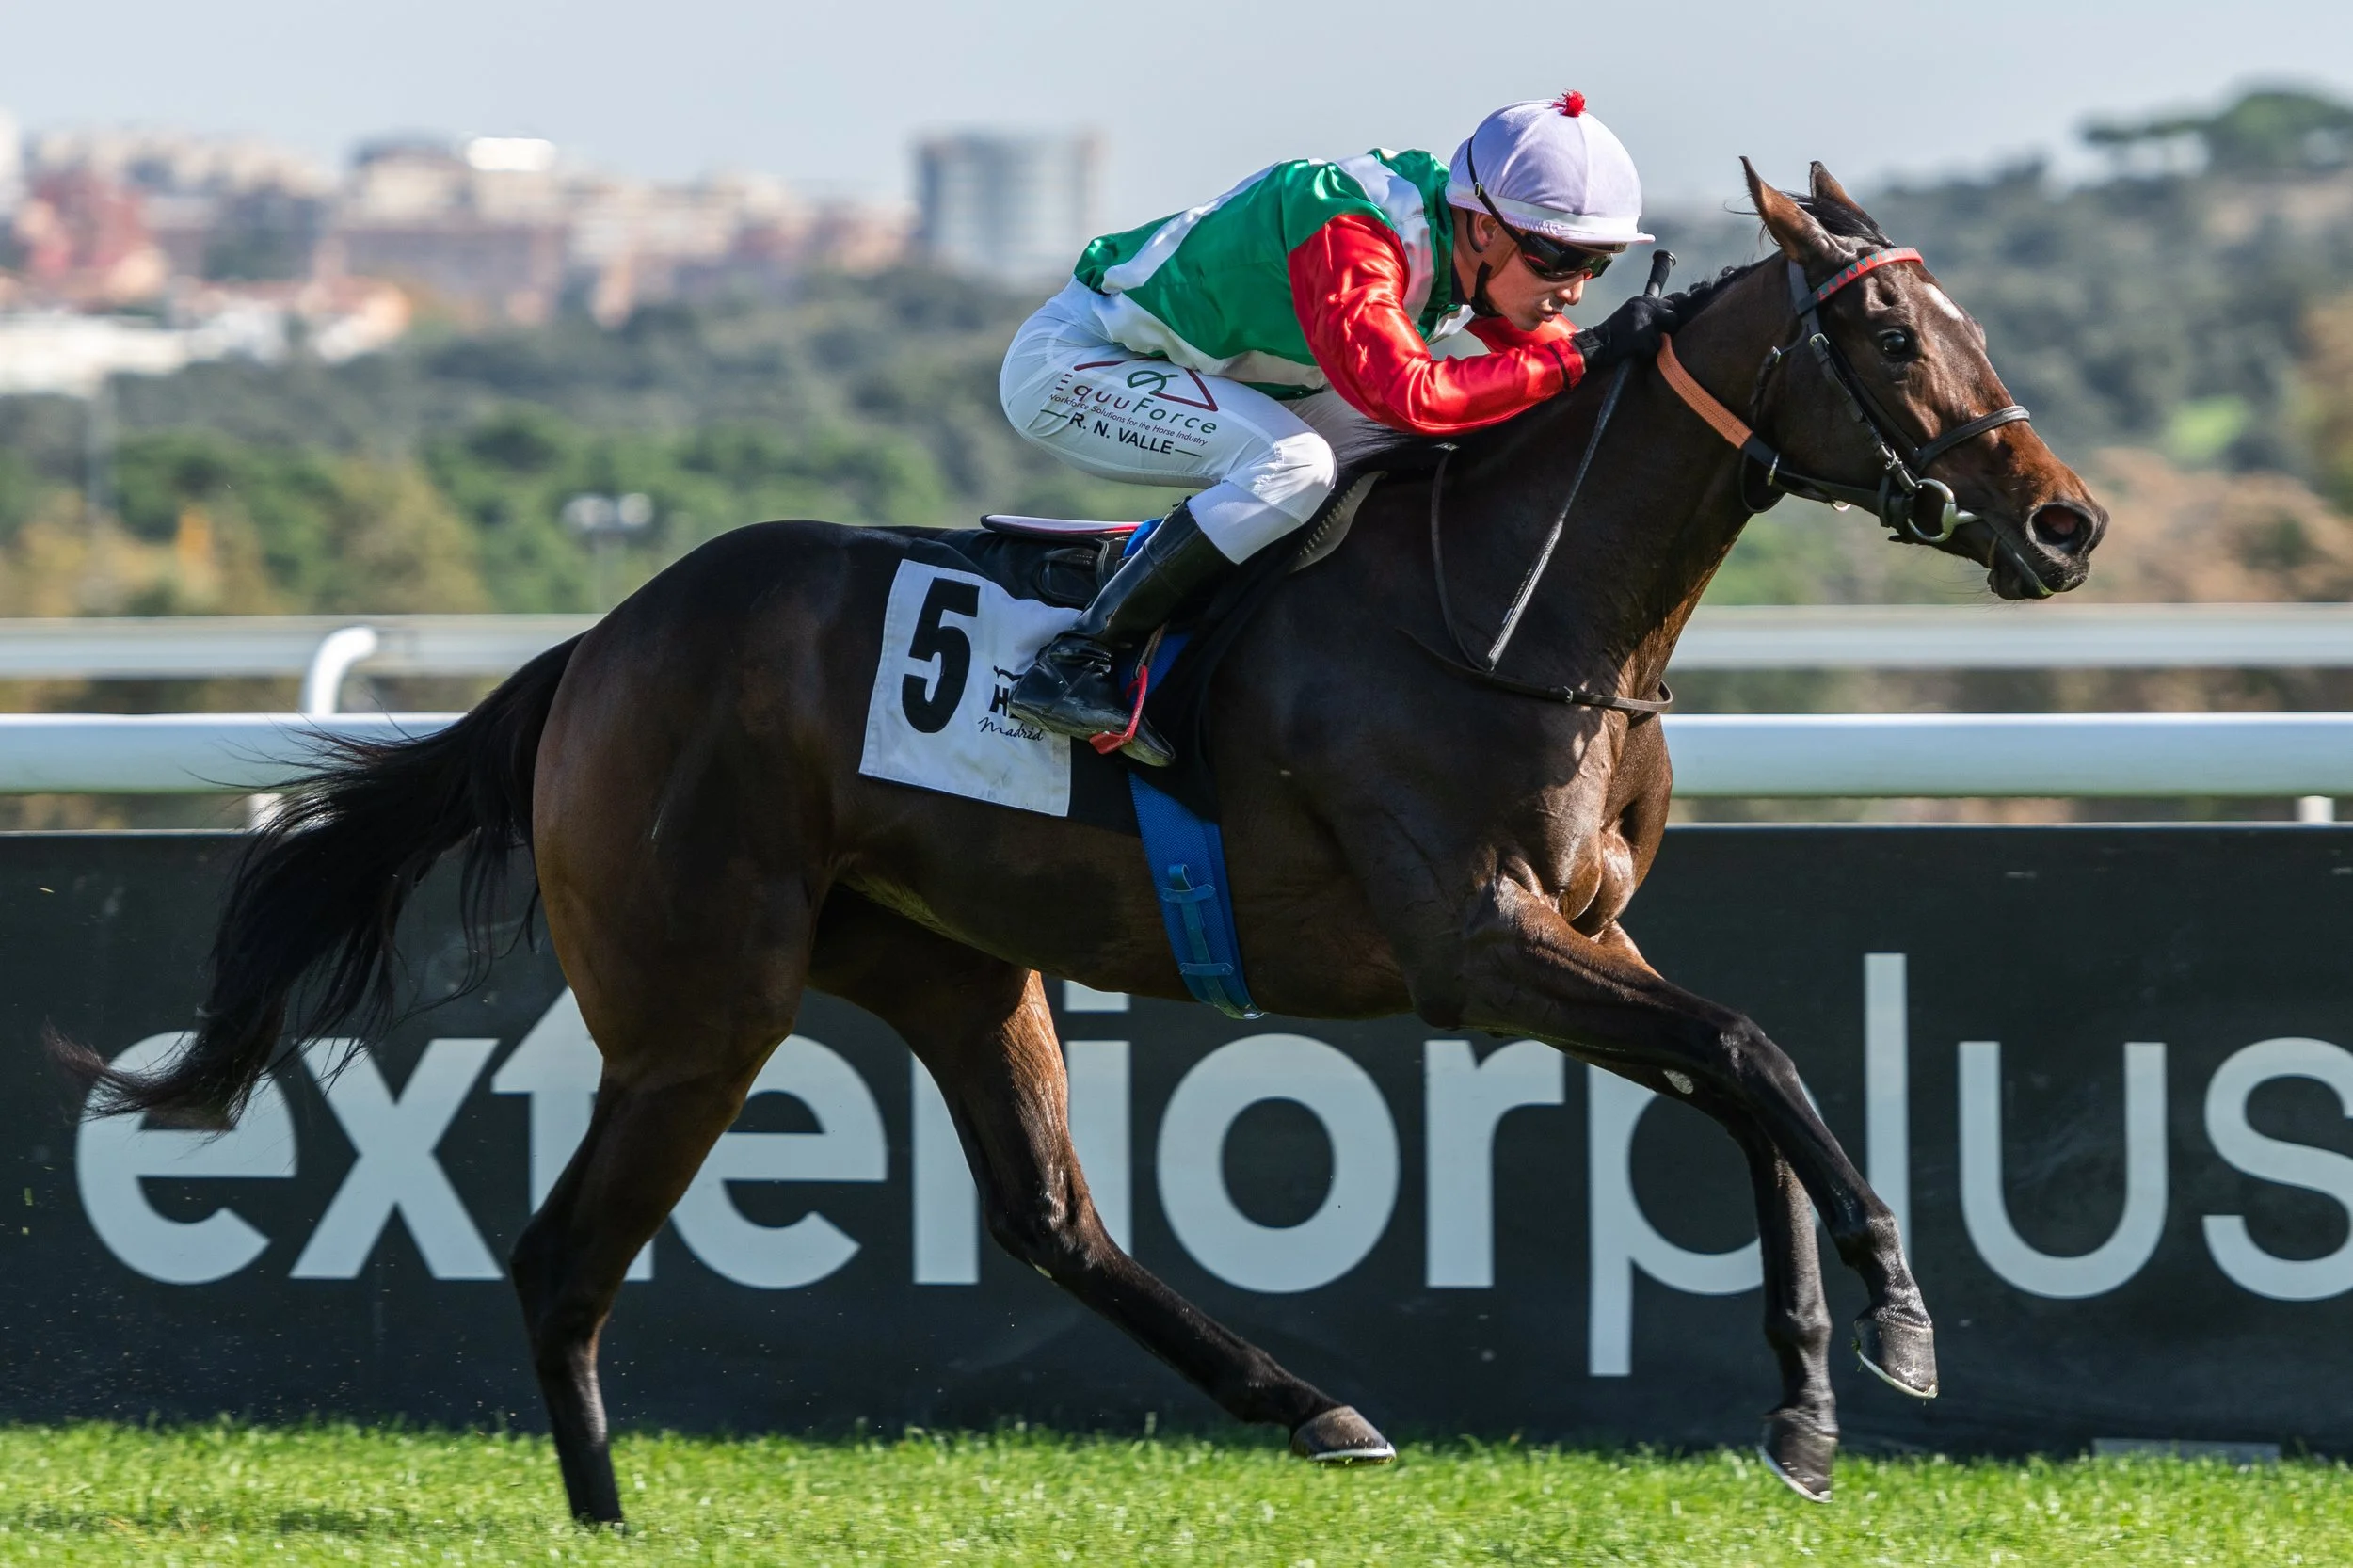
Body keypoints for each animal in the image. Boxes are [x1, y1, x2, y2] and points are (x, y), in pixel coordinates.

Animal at [63, 161, 2106, 1523]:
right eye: (1881, 327)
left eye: (1962, 314)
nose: (2067, 522)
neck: (1517, 605)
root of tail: (601, 645)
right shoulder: (1478, 946)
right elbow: (1753, 1055)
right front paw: (1893, 1323)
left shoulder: (1584, 939)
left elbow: (1748, 1081)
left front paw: (1817, 1395)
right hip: (696, 1005)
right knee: (563, 1251)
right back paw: (605, 1507)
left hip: (950, 963)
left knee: (1049, 1214)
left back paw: (1308, 1403)